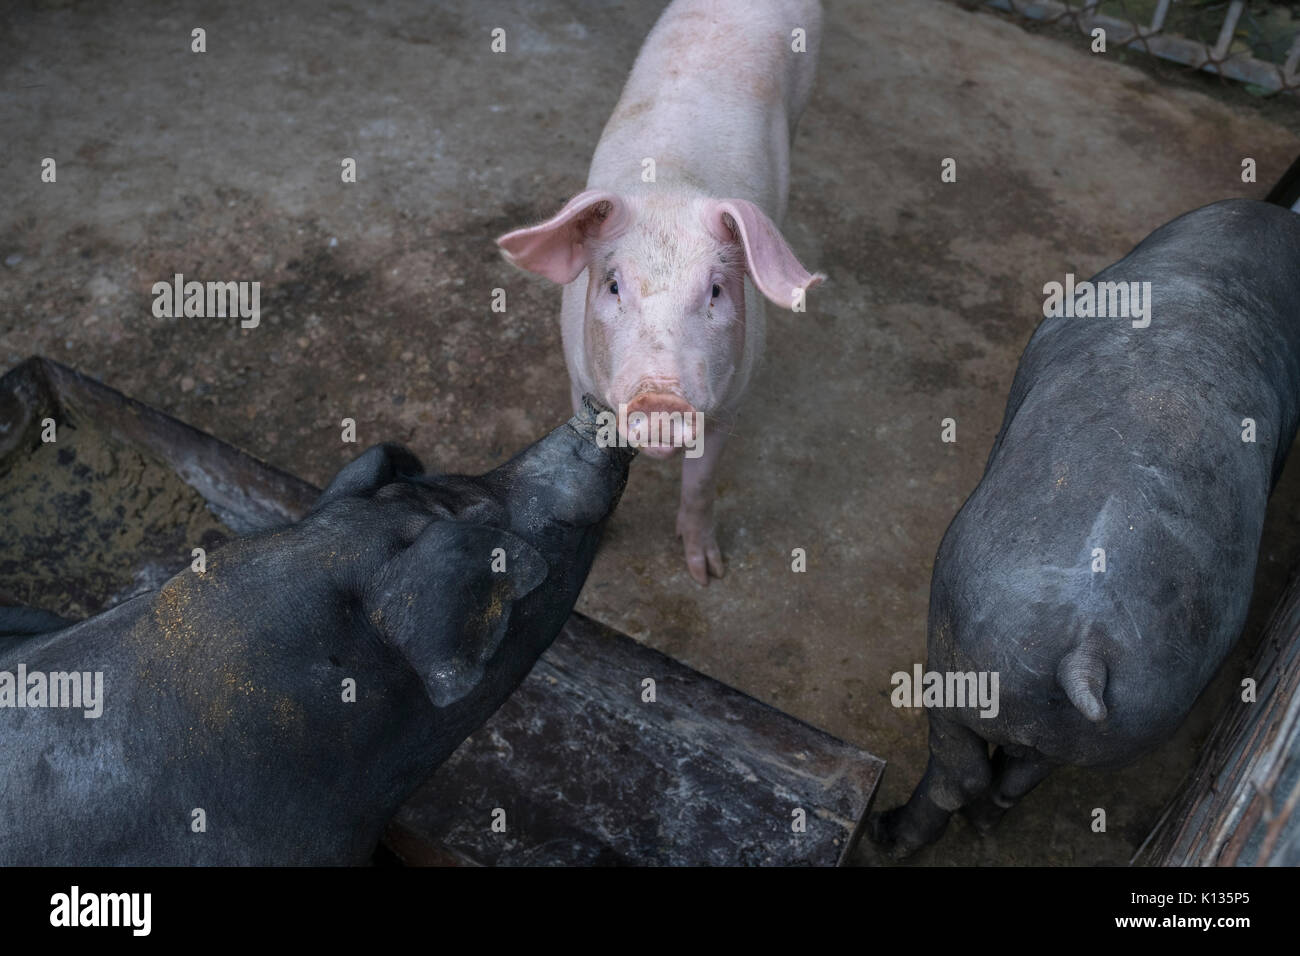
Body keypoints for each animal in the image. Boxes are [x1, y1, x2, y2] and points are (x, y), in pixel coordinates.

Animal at [496, 0, 821, 587]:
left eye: (715, 291)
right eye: (613, 285)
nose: (662, 400)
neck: (670, 188)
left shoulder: (730, 402)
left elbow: (701, 483)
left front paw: (705, 573)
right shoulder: (578, 376)